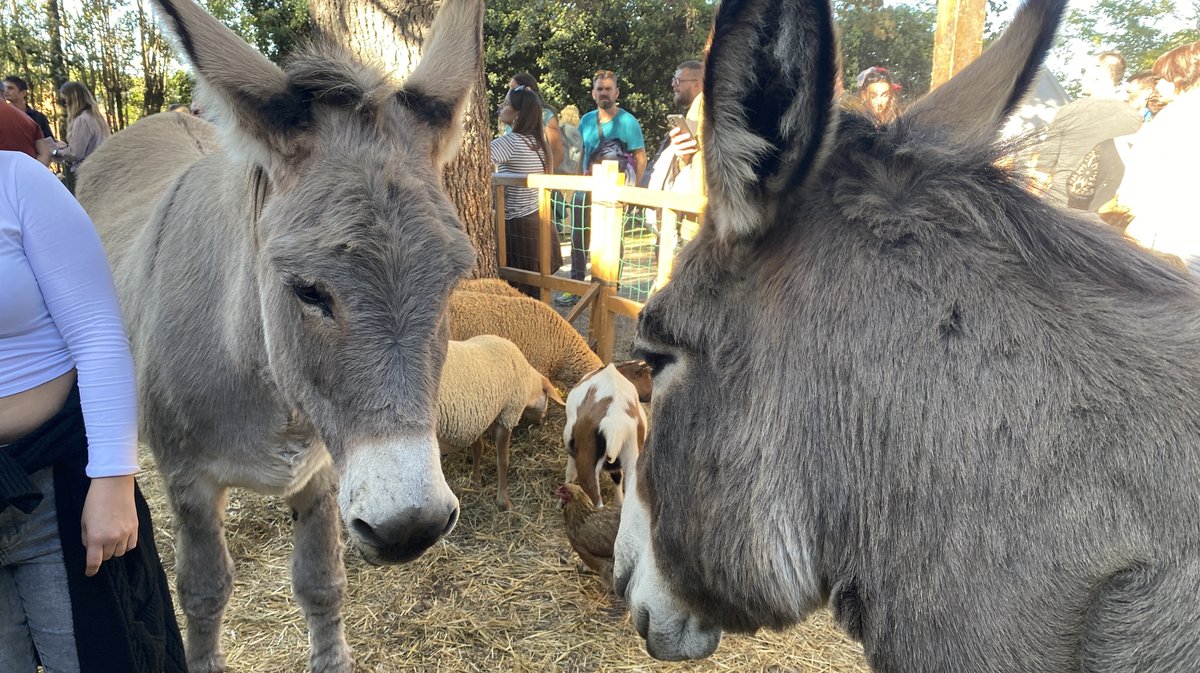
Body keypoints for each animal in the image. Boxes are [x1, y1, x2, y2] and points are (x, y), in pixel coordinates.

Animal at [439, 333, 564, 511]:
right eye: (547, 399)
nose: (544, 421)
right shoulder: (508, 414)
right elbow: (503, 460)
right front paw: (504, 501)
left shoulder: (476, 415)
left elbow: (478, 448)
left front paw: (475, 479)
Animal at [561, 364, 648, 506]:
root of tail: (615, 424)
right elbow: (617, 477)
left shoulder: (570, 444)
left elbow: (570, 474)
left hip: (586, 463)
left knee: (596, 501)